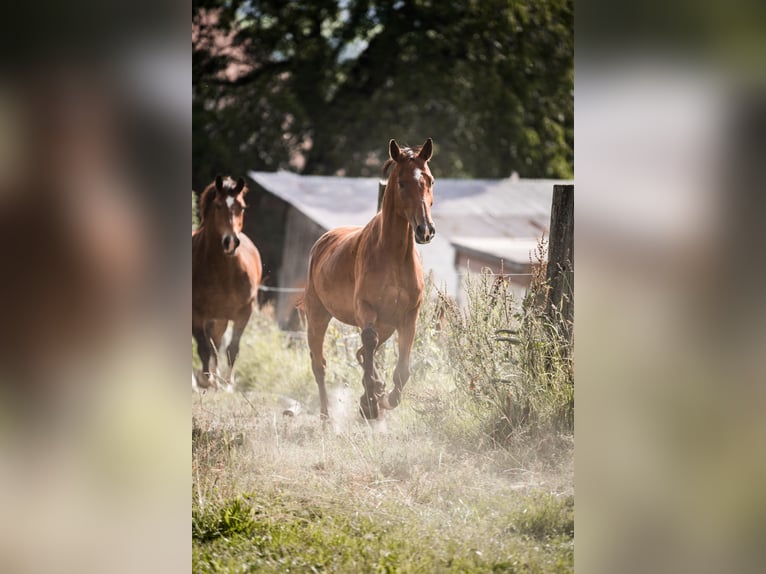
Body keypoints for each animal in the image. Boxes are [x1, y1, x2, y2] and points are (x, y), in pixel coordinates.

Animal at [192, 175, 262, 390]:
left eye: (242, 207)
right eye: (218, 206)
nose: (231, 242)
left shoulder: (244, 313)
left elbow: (232, 348)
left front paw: (227, 383)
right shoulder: (197, 315)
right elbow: (204, 348)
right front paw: (205, 379)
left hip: (221, 319)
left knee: (216, 343)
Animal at [302, 138, 436, 420]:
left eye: (430, 180)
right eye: (401, 183)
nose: (425, 230)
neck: (393, 256)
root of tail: (322, 242)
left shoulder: (408, 317)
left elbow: (401, 370)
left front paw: (381, 399)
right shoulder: (366, 310)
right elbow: (369, 343)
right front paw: (374, 398)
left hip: (386, 324)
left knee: (361, 353)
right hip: (317, 316)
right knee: (320, 365)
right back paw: (327, 418)